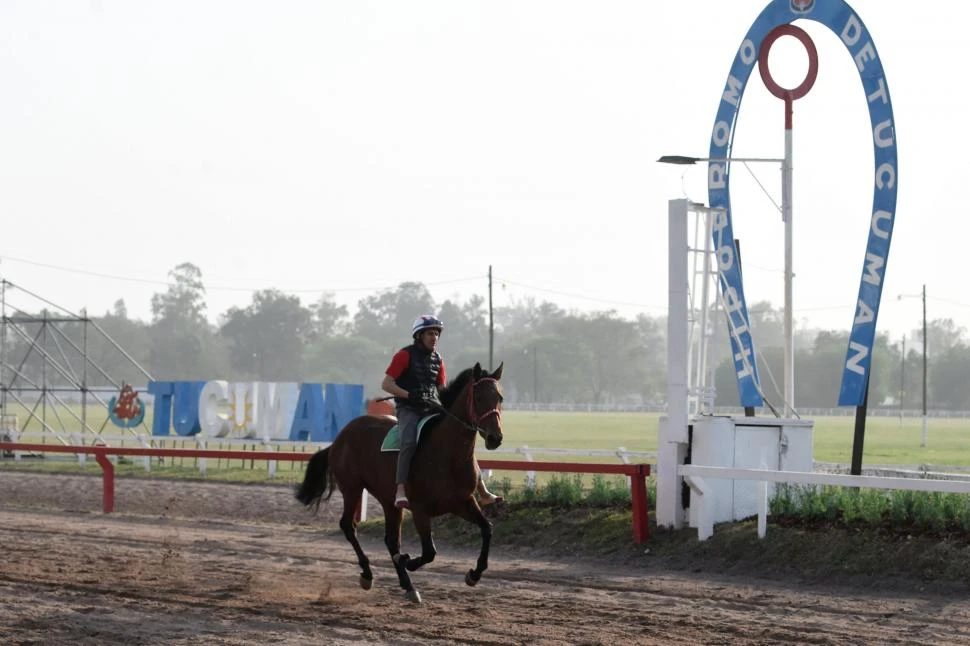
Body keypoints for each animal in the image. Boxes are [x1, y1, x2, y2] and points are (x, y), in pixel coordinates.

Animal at [294, 362, 506, 604]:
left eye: (499, 397)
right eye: (478, 397)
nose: (495, 438)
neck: (448, 455)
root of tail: (341, 436)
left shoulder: (462, 502)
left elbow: (487, 528)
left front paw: (474, 574)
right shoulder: (421, 509)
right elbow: (429, 552)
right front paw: (406, 560)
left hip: (389, 500)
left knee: (390, 539)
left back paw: (408, 585)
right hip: (352, 487)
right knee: (349, 526)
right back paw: (368, 574)